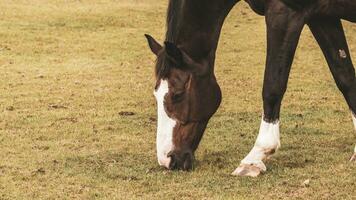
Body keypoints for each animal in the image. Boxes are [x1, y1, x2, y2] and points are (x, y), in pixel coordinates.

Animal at [144, 0, 356, 177]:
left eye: (177, 94)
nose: (167, 159)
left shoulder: (284, 13)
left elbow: (272, 86)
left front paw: (255, 158)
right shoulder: (322, 17)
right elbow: (345, 77)